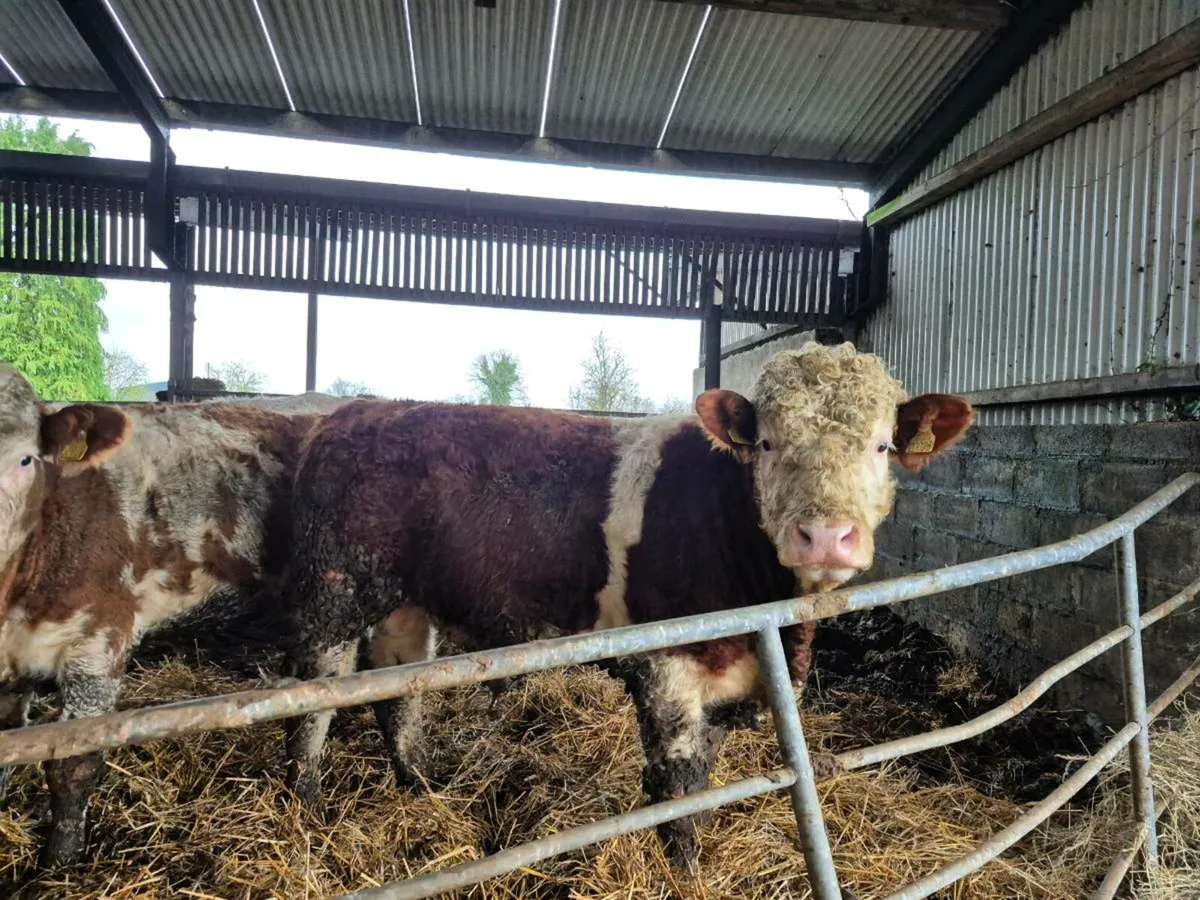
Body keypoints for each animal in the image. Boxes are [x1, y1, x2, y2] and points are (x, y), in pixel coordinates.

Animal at [0, 364, 347, 867]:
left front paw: (59, 864)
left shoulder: (99, 642)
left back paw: (306, 796)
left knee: (320, 698)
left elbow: (72, 764)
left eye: (25, 460)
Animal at [280, 341, 975, 868]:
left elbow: (703, 769)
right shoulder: (668, 663)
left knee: (397, 690)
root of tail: (350, 415)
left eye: (881, 446)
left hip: (403, 604)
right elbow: (676, 781)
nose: (826, 536)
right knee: (313, 697)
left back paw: (422, 788)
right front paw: (684, 869)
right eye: (768, 444)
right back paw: (304, 808)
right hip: (335, 592)